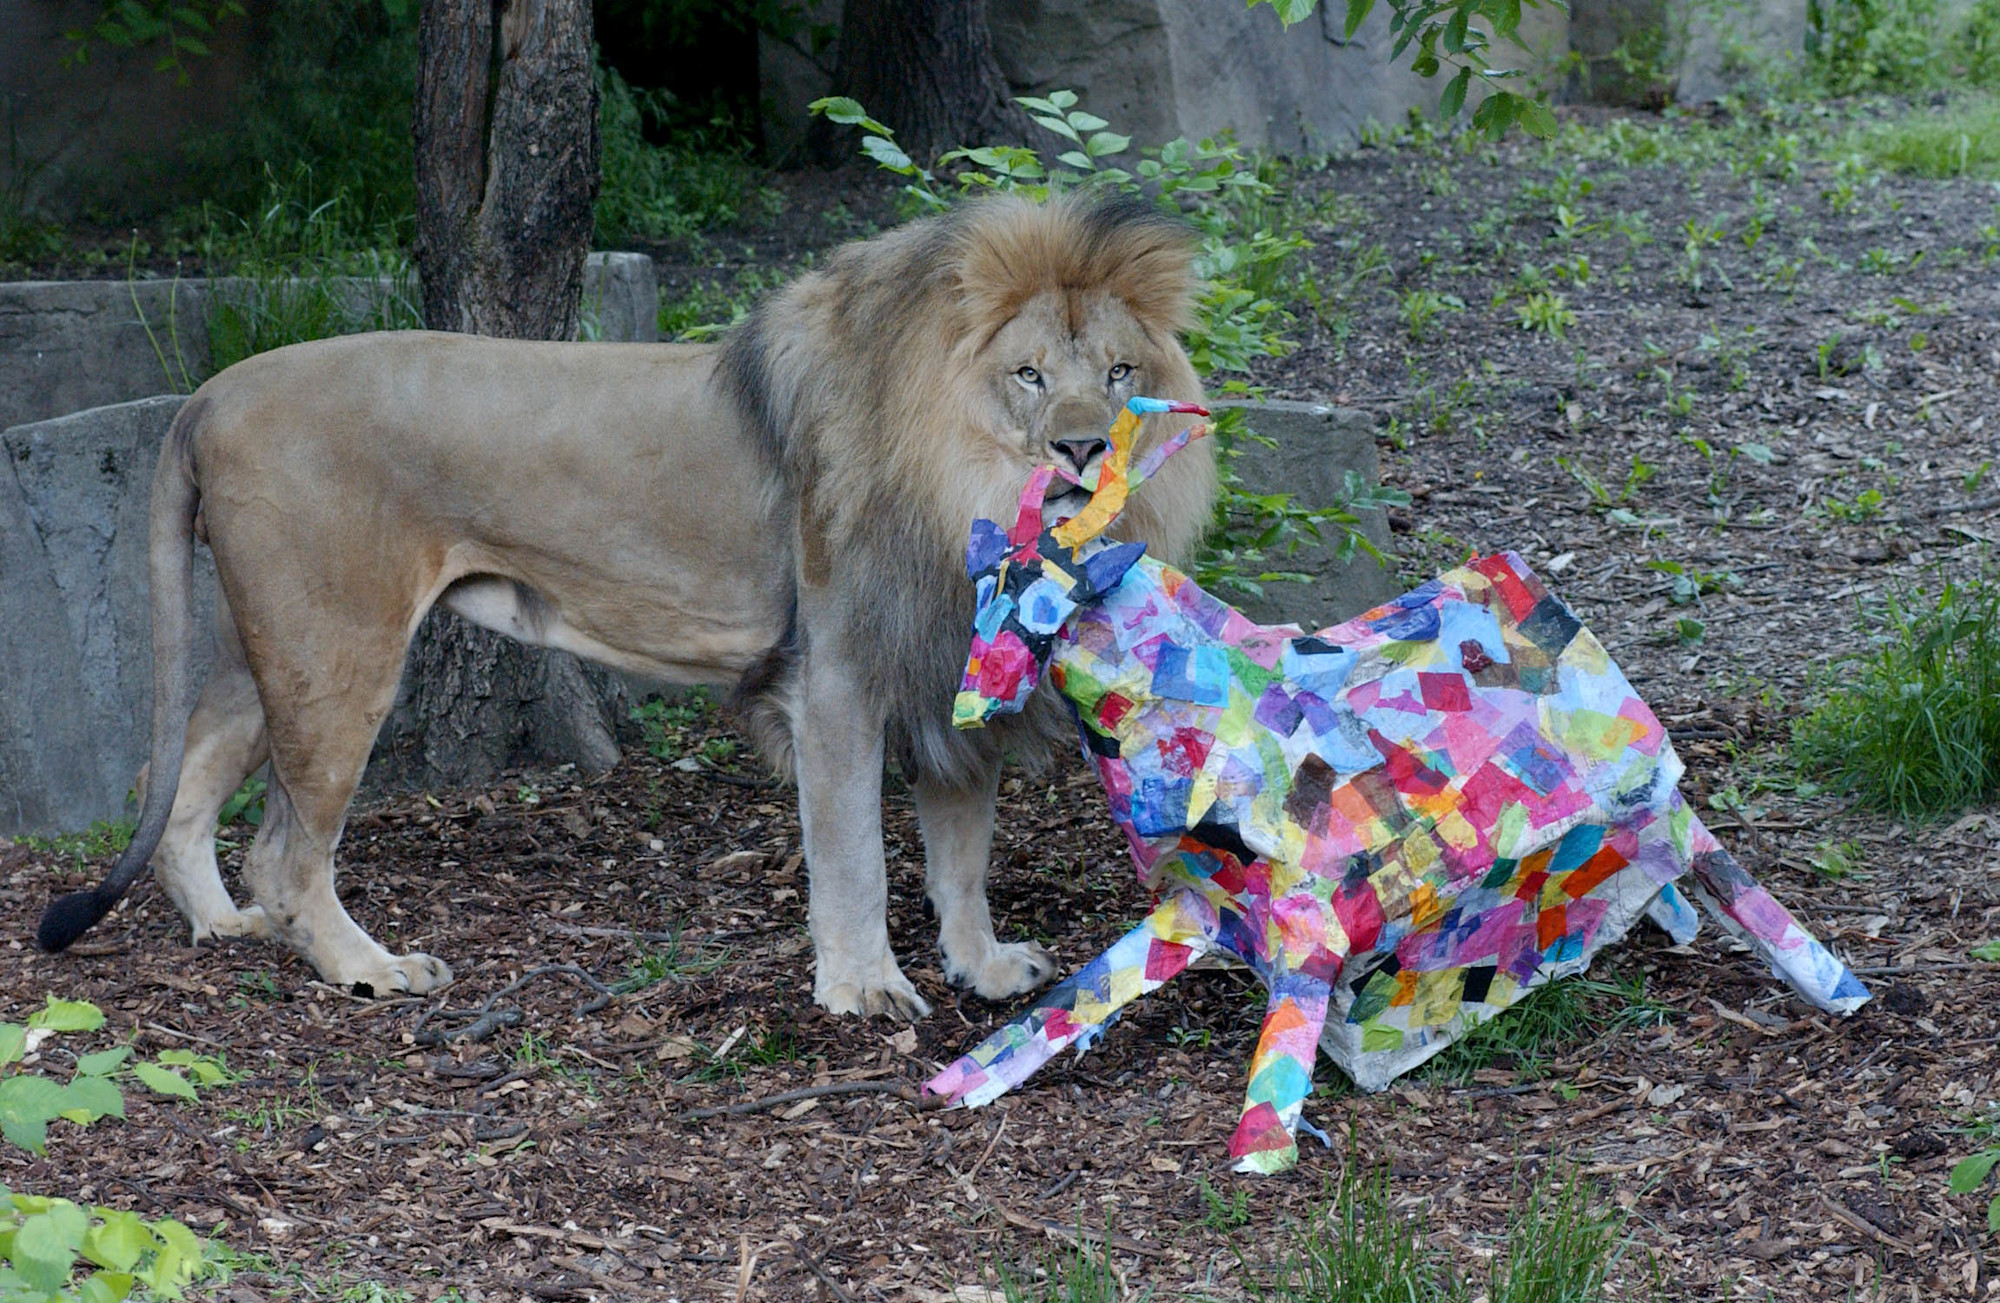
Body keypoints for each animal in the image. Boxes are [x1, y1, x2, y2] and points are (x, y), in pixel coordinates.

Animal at [36, 192, 1217, 1019]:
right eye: (1029, 375)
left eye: (1120, 371)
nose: (1082, 449)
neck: (956, 475)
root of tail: (209, 392)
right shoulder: (840, 676)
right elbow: (856, 855)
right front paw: (862, 985)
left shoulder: (938, 666)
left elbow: (961, 849)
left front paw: (982, 964)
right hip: (338, 650)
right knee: (286, 852)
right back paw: (368, 966)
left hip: (268, 642)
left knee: (179, 785)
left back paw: (223, 927)